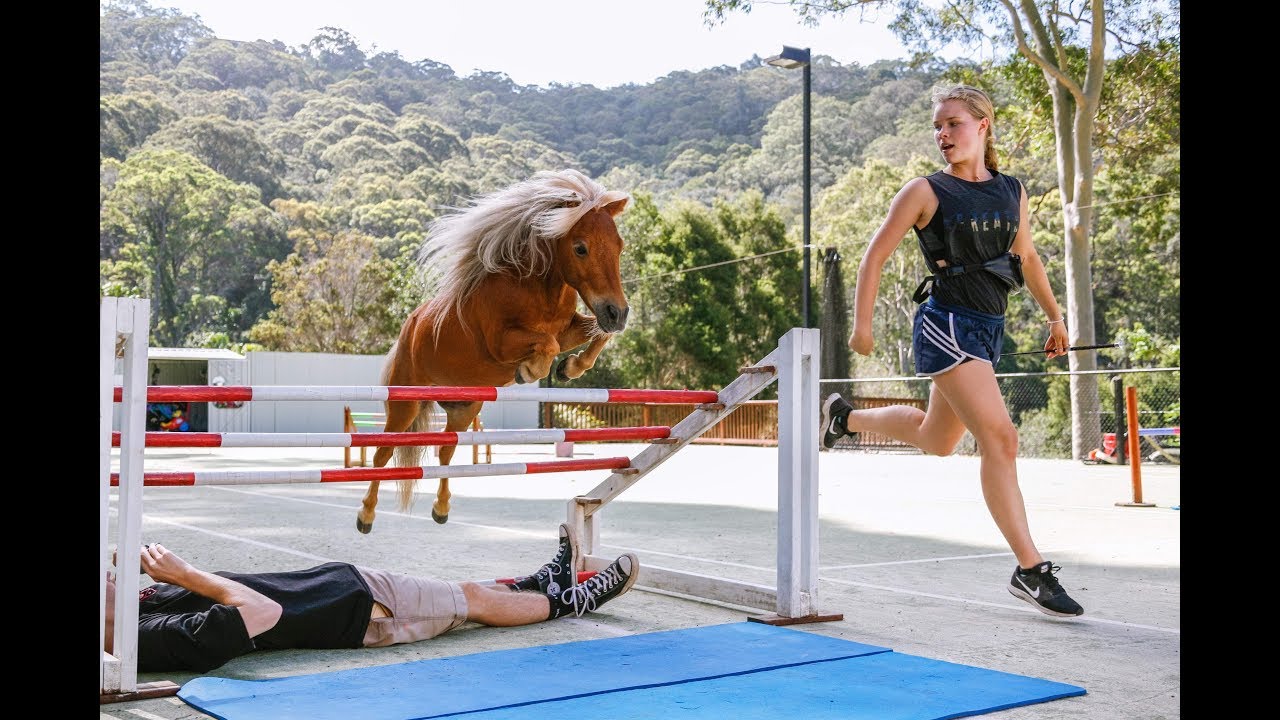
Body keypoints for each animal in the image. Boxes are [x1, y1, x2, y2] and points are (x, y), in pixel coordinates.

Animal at [355, 169, 629, 532]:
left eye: (619, 246)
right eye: (580, 248)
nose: (618, 314)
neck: (535, 287)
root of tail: (407, 329)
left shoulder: (569, 328)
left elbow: (594, 337)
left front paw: (569, 367)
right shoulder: (500, 344)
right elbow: (547, 345)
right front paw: (530, 370)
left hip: (463, 409)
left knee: (445, 452)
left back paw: (441, 509)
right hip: (405, 405)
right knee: (382, 454)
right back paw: (366, 515)